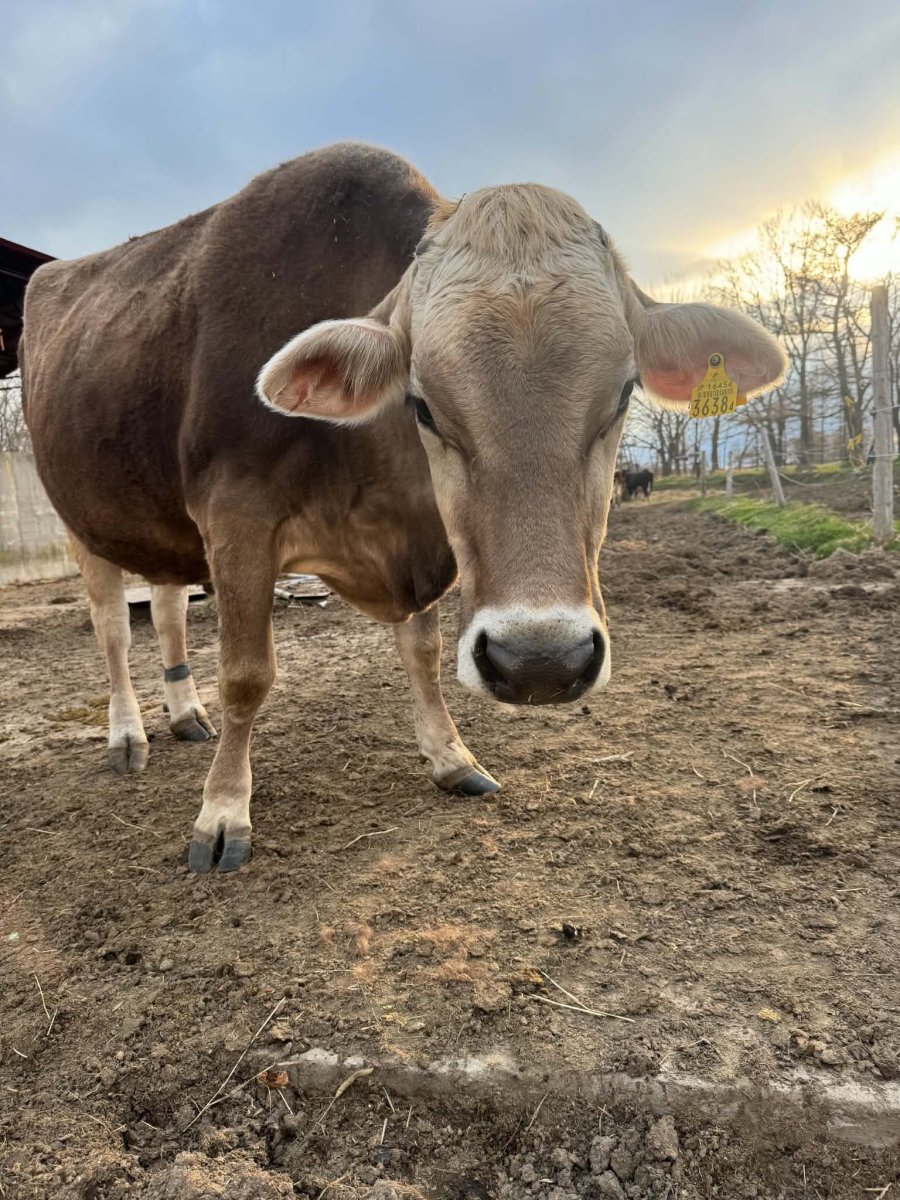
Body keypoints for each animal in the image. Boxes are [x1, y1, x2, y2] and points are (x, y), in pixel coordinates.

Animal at [22, 143, 785, 873]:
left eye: (625, 394)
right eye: (423, 405)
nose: (540, 662)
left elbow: (421, 651)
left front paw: (451, 757)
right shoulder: (235, 516)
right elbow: (245, 674)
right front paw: (222, 812)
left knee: (168, 606)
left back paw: (184, 714)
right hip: (82, 521)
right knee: (114, 631)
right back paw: (128, 735)